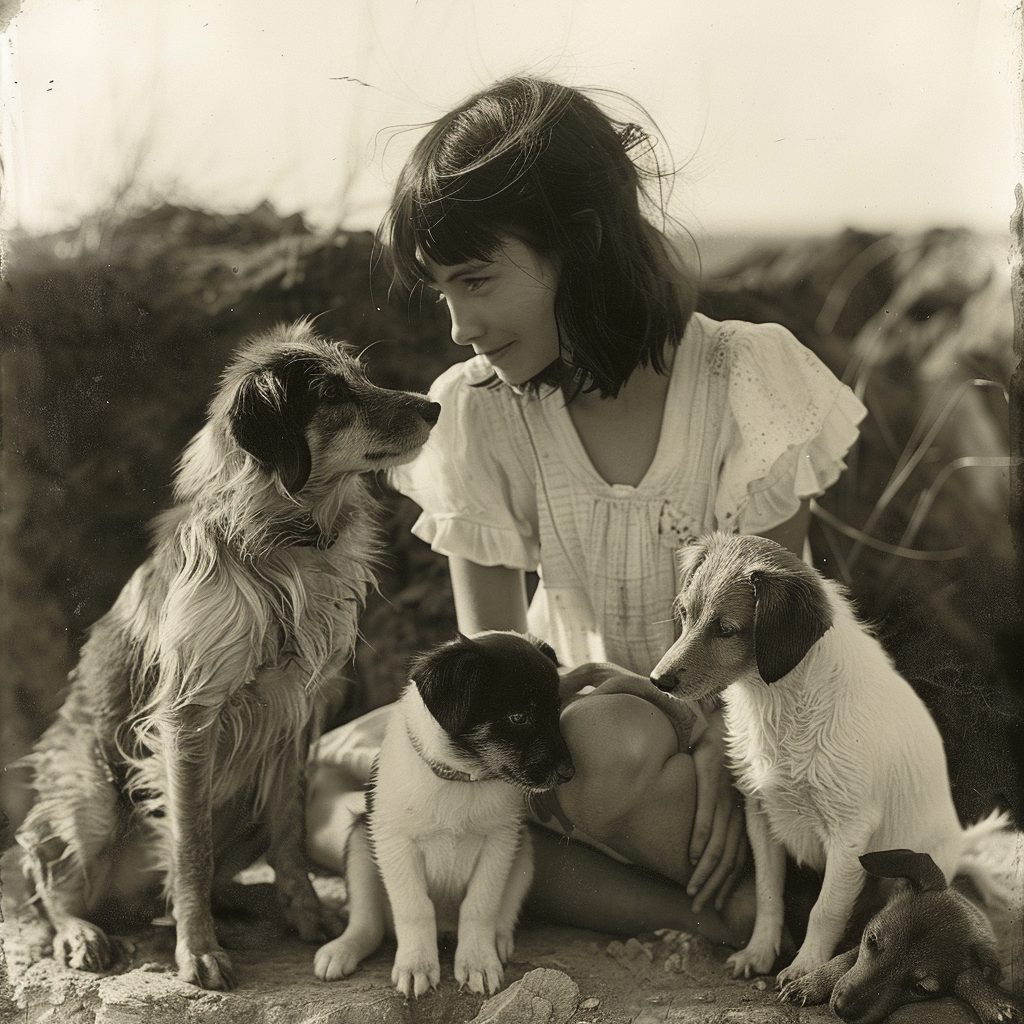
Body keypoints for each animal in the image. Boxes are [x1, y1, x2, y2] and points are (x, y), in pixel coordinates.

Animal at [16, 321, 440, 991]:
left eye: (362, 377)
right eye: (332, 394)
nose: (434, 407)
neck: (288, 543)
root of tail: (124, 905)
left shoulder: (296, 715)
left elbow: (288, 835)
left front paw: (307, 914)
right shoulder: (189, 718)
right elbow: (190, 846)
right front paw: (198, 950)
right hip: (90, 797)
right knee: (54, 888)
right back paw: (84, 933)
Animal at [311, 626, 577, 995]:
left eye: (557, 710)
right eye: (518, 717)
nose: (569, 773)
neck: (462, 780)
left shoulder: (499, 843)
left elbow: (480, 906)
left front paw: (477, 961)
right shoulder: (394, 843)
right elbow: (415, 908)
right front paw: (416, 966)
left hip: (524, 852)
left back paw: (498, 940)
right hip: (361, 846)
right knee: (368, 924)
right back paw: (342, 950)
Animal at [651, 536, 1011, 991]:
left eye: (725, 629)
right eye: (684, 613)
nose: (656, 681)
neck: (779, 703)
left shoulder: (849, 830)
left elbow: (826, 909)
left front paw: (806, 969)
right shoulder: (761, 814)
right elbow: (768, 894)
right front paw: (759, 953)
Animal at [778, 847, 1019, 1024]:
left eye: (920, 988)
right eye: (872, 940)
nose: (841, 1009)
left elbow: (969, 975)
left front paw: (991, 1001)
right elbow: (846, 957)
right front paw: (811, 982)